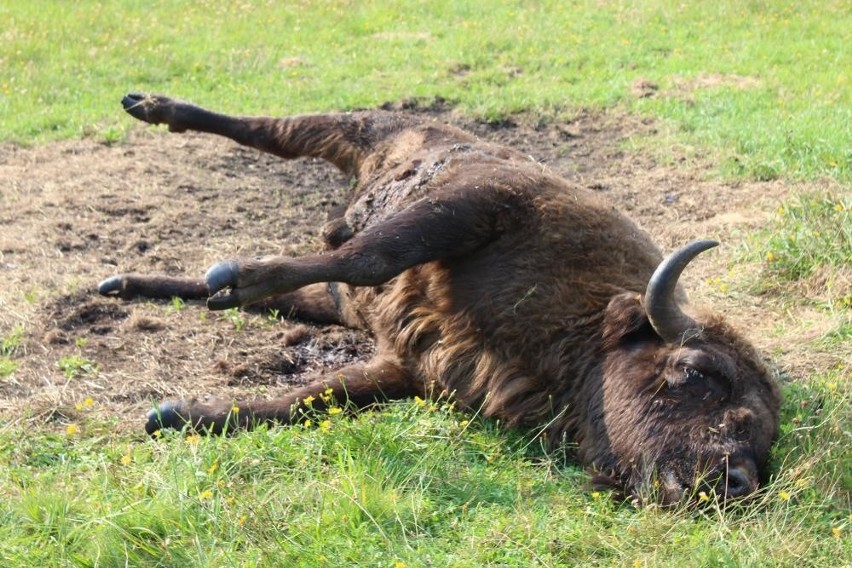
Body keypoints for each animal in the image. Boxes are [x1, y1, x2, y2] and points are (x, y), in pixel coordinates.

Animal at [98, 94, 780, 506]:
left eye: (763, 432)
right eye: (693, 370)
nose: (736, 478)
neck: (589, 330)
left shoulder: (410, 367)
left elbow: (312, 398)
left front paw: (178, 415)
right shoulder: (479, 207)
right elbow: (373, 254)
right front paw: (240, 277)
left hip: (341, 292)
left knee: (306, 284)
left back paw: (131, 283)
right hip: (353, 129)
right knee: (271, 135)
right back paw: (155, 113)